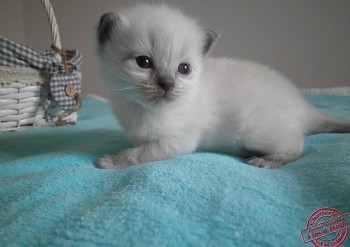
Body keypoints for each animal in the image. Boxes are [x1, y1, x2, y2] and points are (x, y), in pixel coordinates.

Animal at [97, 3, 350, 169]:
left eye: (183, 69)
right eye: (143, 63)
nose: (167, 84)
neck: (141, 110)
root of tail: (301, 103)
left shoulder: (177, 141)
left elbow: (139, 154)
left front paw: (111, 161)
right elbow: (139, 147)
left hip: (255, 132)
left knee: (296, 146)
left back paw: (264, 161)